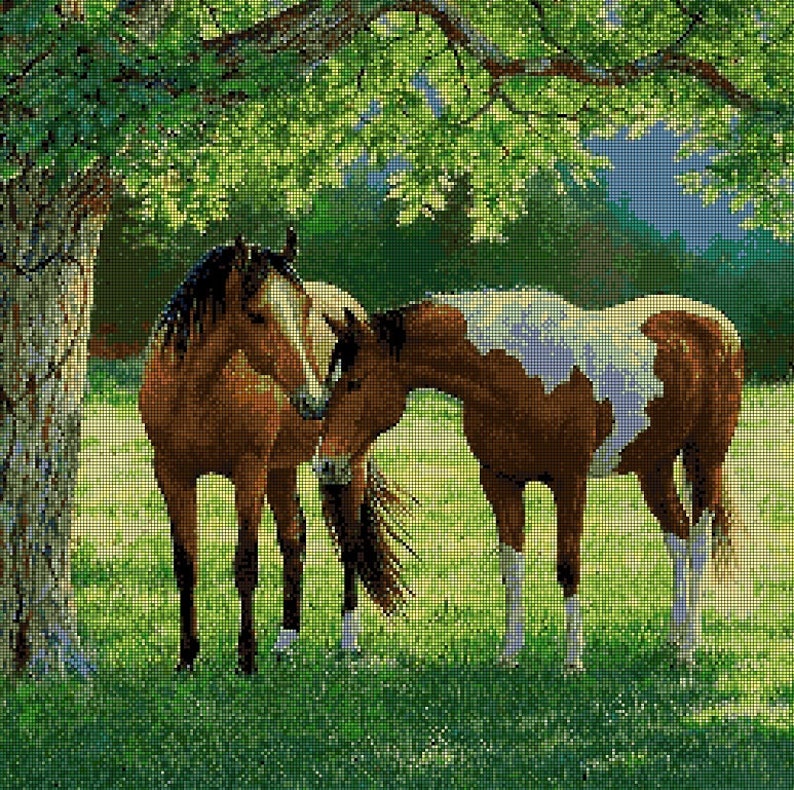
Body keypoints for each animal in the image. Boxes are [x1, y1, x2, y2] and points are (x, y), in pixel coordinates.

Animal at [139, 233, 410, 673]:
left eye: (304, 310)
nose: (316, 400)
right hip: (282, 469)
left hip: (349, 463)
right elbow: (185, 564)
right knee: (294, 536)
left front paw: (246, 660)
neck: (195, 391)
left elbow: (246, 564)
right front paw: (187, 658)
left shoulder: (249, 472)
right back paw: (287, 640)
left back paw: (348, 641)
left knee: (350, 542)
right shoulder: (173, 473)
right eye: (255, 316)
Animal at [314, 288, 745, 671]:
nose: (326, 464)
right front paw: (510, 654)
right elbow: (512, 566)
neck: (519, 375)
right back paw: (674, 636)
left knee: (699, 545)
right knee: (678, 539)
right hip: (653, 466)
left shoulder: (570, 481)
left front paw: (573, 660)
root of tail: (719, 326)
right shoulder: (500, 481)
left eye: (355, 382)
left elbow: (568, 564)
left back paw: (688, 649)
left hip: (705, 457)